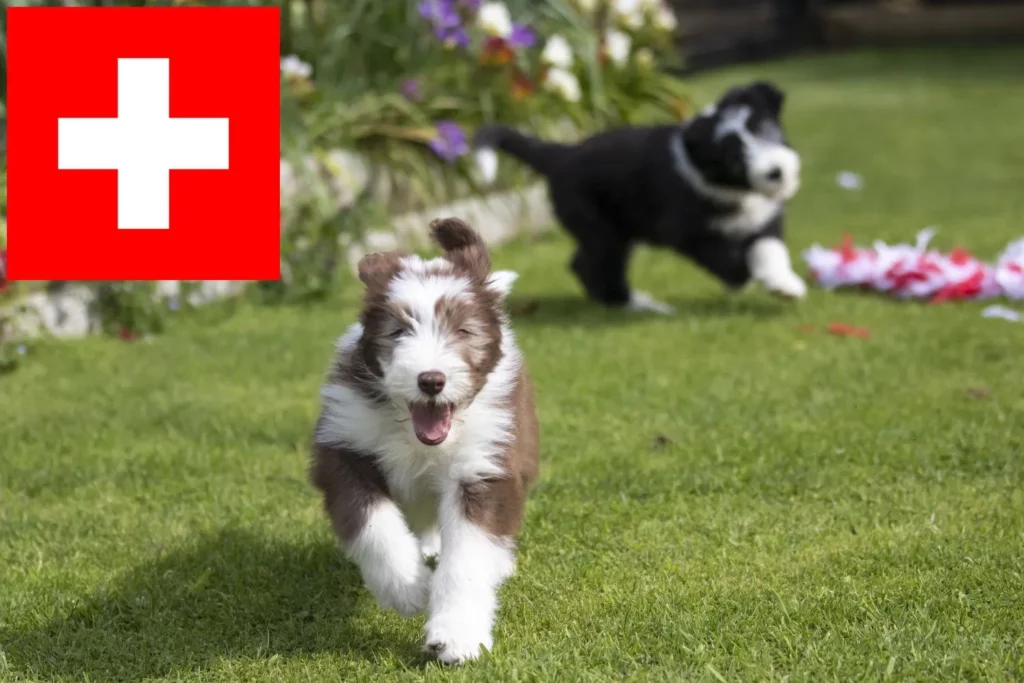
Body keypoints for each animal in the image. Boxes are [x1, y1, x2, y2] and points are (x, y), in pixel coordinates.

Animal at [309, 218, 536, 663]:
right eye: (398, 332)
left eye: (463, 330)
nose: (431, 380)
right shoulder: (345, 445)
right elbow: (372, 521)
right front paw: (407, 587)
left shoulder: (483, 465)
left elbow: (469, 555)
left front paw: (456, 636)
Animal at [473, 80, 806, 315]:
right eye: (733, 157)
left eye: (766, 130)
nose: (775, 173)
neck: (733, 188)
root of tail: (563, 155)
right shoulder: (686, 229)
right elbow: (728, 258)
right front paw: (740, 278)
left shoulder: (764, 217)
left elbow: (768, 247)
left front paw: (783, 284)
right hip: (600, 226)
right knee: (596, 263)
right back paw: (640, 306)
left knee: (582, 262)